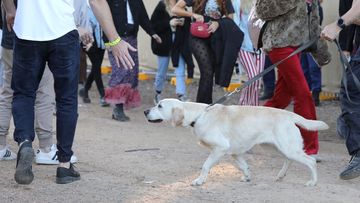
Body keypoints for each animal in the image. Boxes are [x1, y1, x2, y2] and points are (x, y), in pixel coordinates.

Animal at [143, 99, 330, 186]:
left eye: (160, 106)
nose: (145, 111)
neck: (198, 115)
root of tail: (290, 115)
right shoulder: (235, 152)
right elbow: (244, 166)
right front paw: (247, 177)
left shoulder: (220, 148)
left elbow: (205, 166)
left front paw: (199, 181)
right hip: (276, 147)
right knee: (288, 160)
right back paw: (280, 175)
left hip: (288, 148)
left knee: (310, 161)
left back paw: (313, 182)